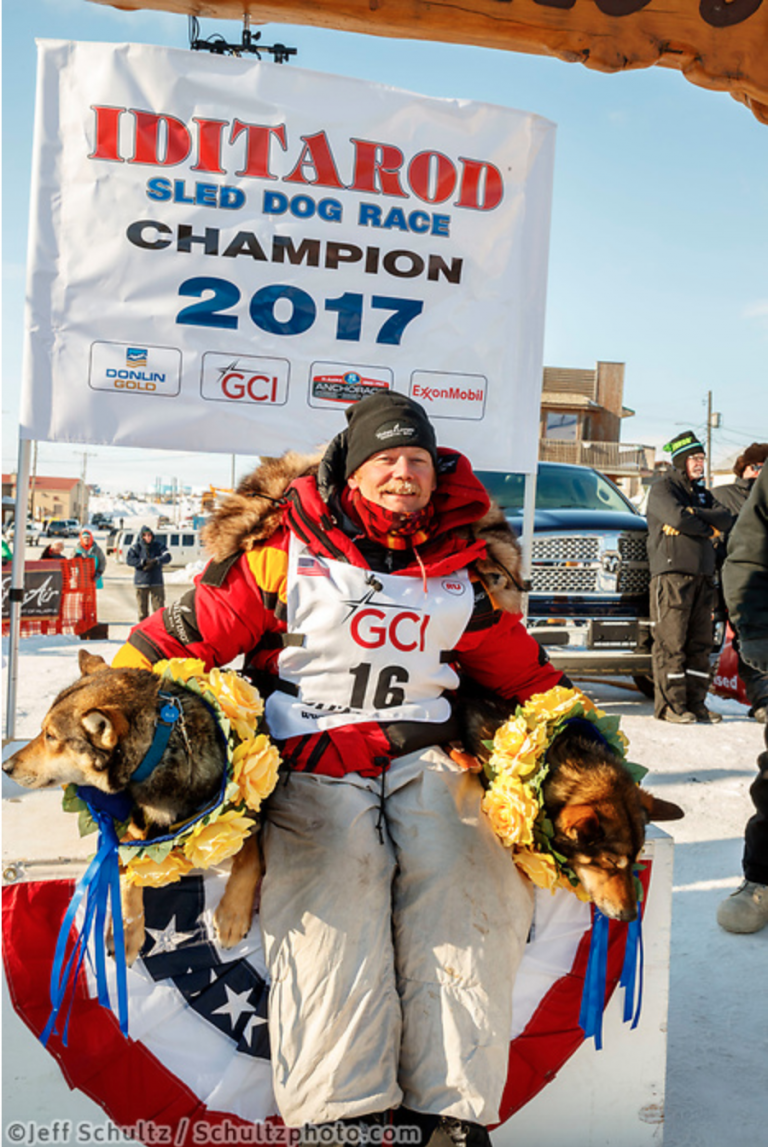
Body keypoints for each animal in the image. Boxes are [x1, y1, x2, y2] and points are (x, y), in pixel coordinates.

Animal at [3, 651, 263, 963]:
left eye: (51, 736)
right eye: (44, 732)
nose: (5, 767)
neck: (162, 754)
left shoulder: (248, 815)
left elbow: (249, 858)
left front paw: (232, 916)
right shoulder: (126, 834)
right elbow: (128, 875)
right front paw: (126, 931)